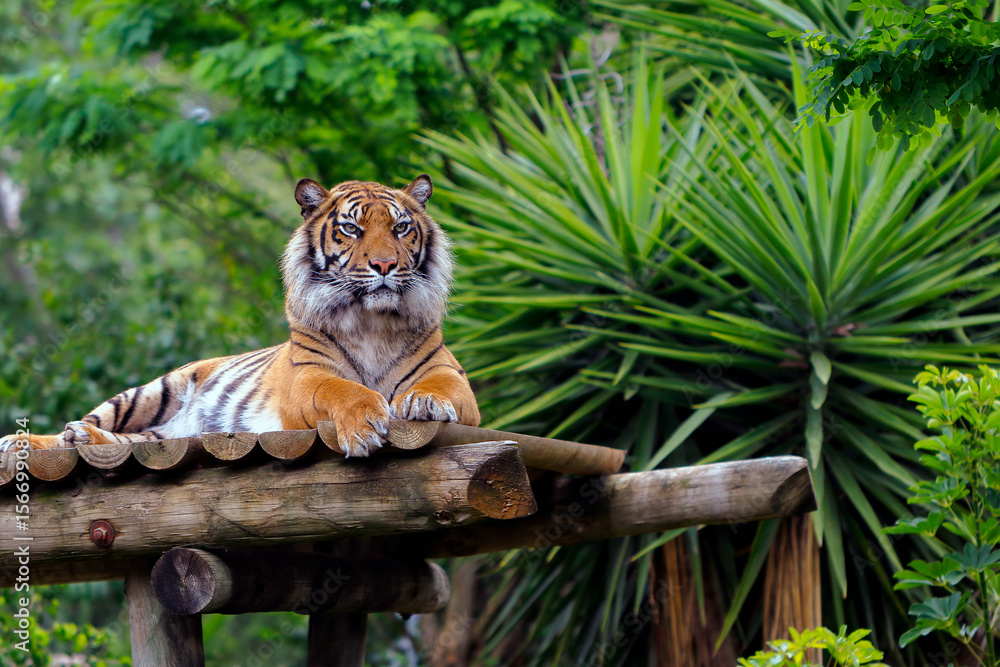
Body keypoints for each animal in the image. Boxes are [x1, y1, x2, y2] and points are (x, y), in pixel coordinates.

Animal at [0, 175, 480, 457]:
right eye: (351, 228)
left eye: (400, 228)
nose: (384, 265)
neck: (371, 322)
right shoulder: (307, 379)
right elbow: (341, 390)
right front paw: (362, 425)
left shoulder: (451, 377)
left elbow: (440, 387)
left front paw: (423, 402)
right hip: (151, 391)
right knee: (90, 422)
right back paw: (26, 440)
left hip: (164, 433)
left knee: (129, 439)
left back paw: (81, 439)